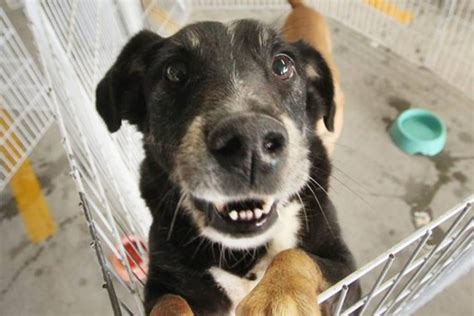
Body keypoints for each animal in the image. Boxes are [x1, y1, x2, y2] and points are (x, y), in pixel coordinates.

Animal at [95, 1, 360, 314]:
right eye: (174, 71)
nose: (250, 142)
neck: (243, 251)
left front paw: (278, 297)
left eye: (283, 66)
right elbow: (170, 302)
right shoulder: (162, 282)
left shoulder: (347, 271)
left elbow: (295, 255)